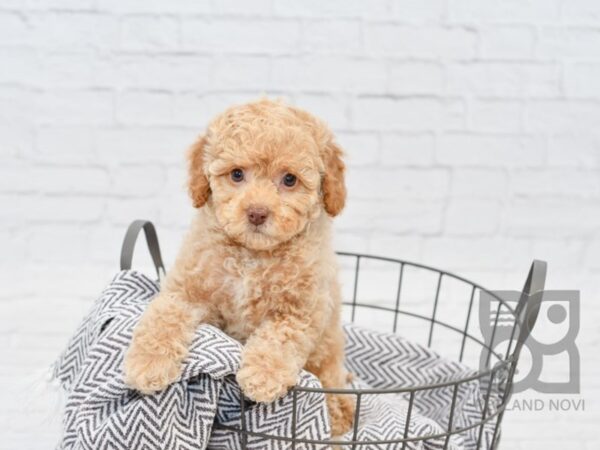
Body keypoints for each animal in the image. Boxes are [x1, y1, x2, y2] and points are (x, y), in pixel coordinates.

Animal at [123, 98, 354, 436]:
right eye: (236, 174)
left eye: (289, 179)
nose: (257, 213)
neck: (251, 256)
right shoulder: (186, 289)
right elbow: (164, 315)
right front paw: (147, 363)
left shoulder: (302, 310)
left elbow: (280, 336)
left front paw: (262, 375)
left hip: (329, 358)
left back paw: (338, 412)